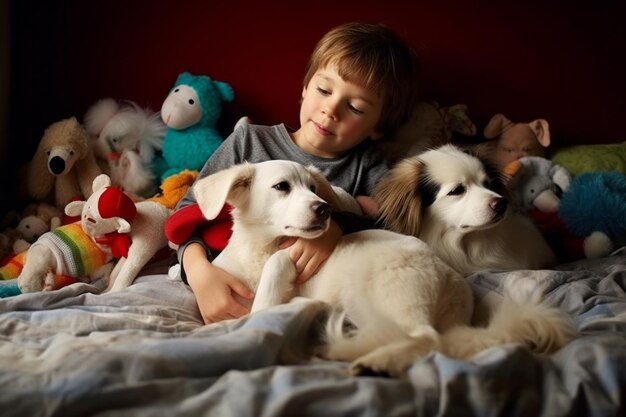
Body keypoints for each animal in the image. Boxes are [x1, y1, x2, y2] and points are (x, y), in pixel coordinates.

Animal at [191, 159, 576, 376]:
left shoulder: (276, 274)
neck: (258, 249)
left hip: (387, 291)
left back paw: (375, 361)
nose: (323, 209)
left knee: (427, 339)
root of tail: (455, 283)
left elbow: (266, 291)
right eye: (282, 187)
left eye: (314, 188)